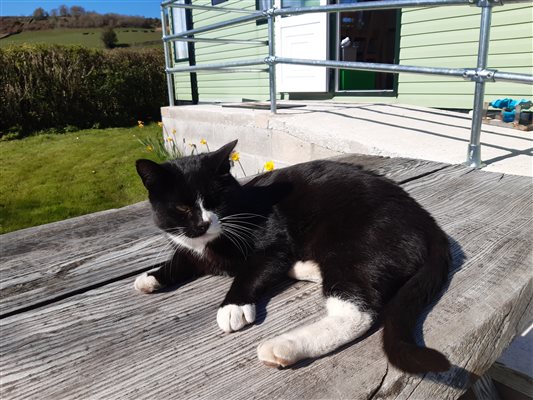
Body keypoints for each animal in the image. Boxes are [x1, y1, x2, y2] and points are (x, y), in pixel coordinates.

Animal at [133, 139, 448, 374]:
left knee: (357, 312)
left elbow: (251, 270)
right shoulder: (191, 247)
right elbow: (182, 258)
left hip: (354, 243)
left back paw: (283, 346)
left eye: (215, 201)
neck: (212, 241)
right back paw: (303, 269)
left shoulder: (272, 240)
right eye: (183, 208)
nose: (203, 223)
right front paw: (151, 277)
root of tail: (427, 221)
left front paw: (233, 306)